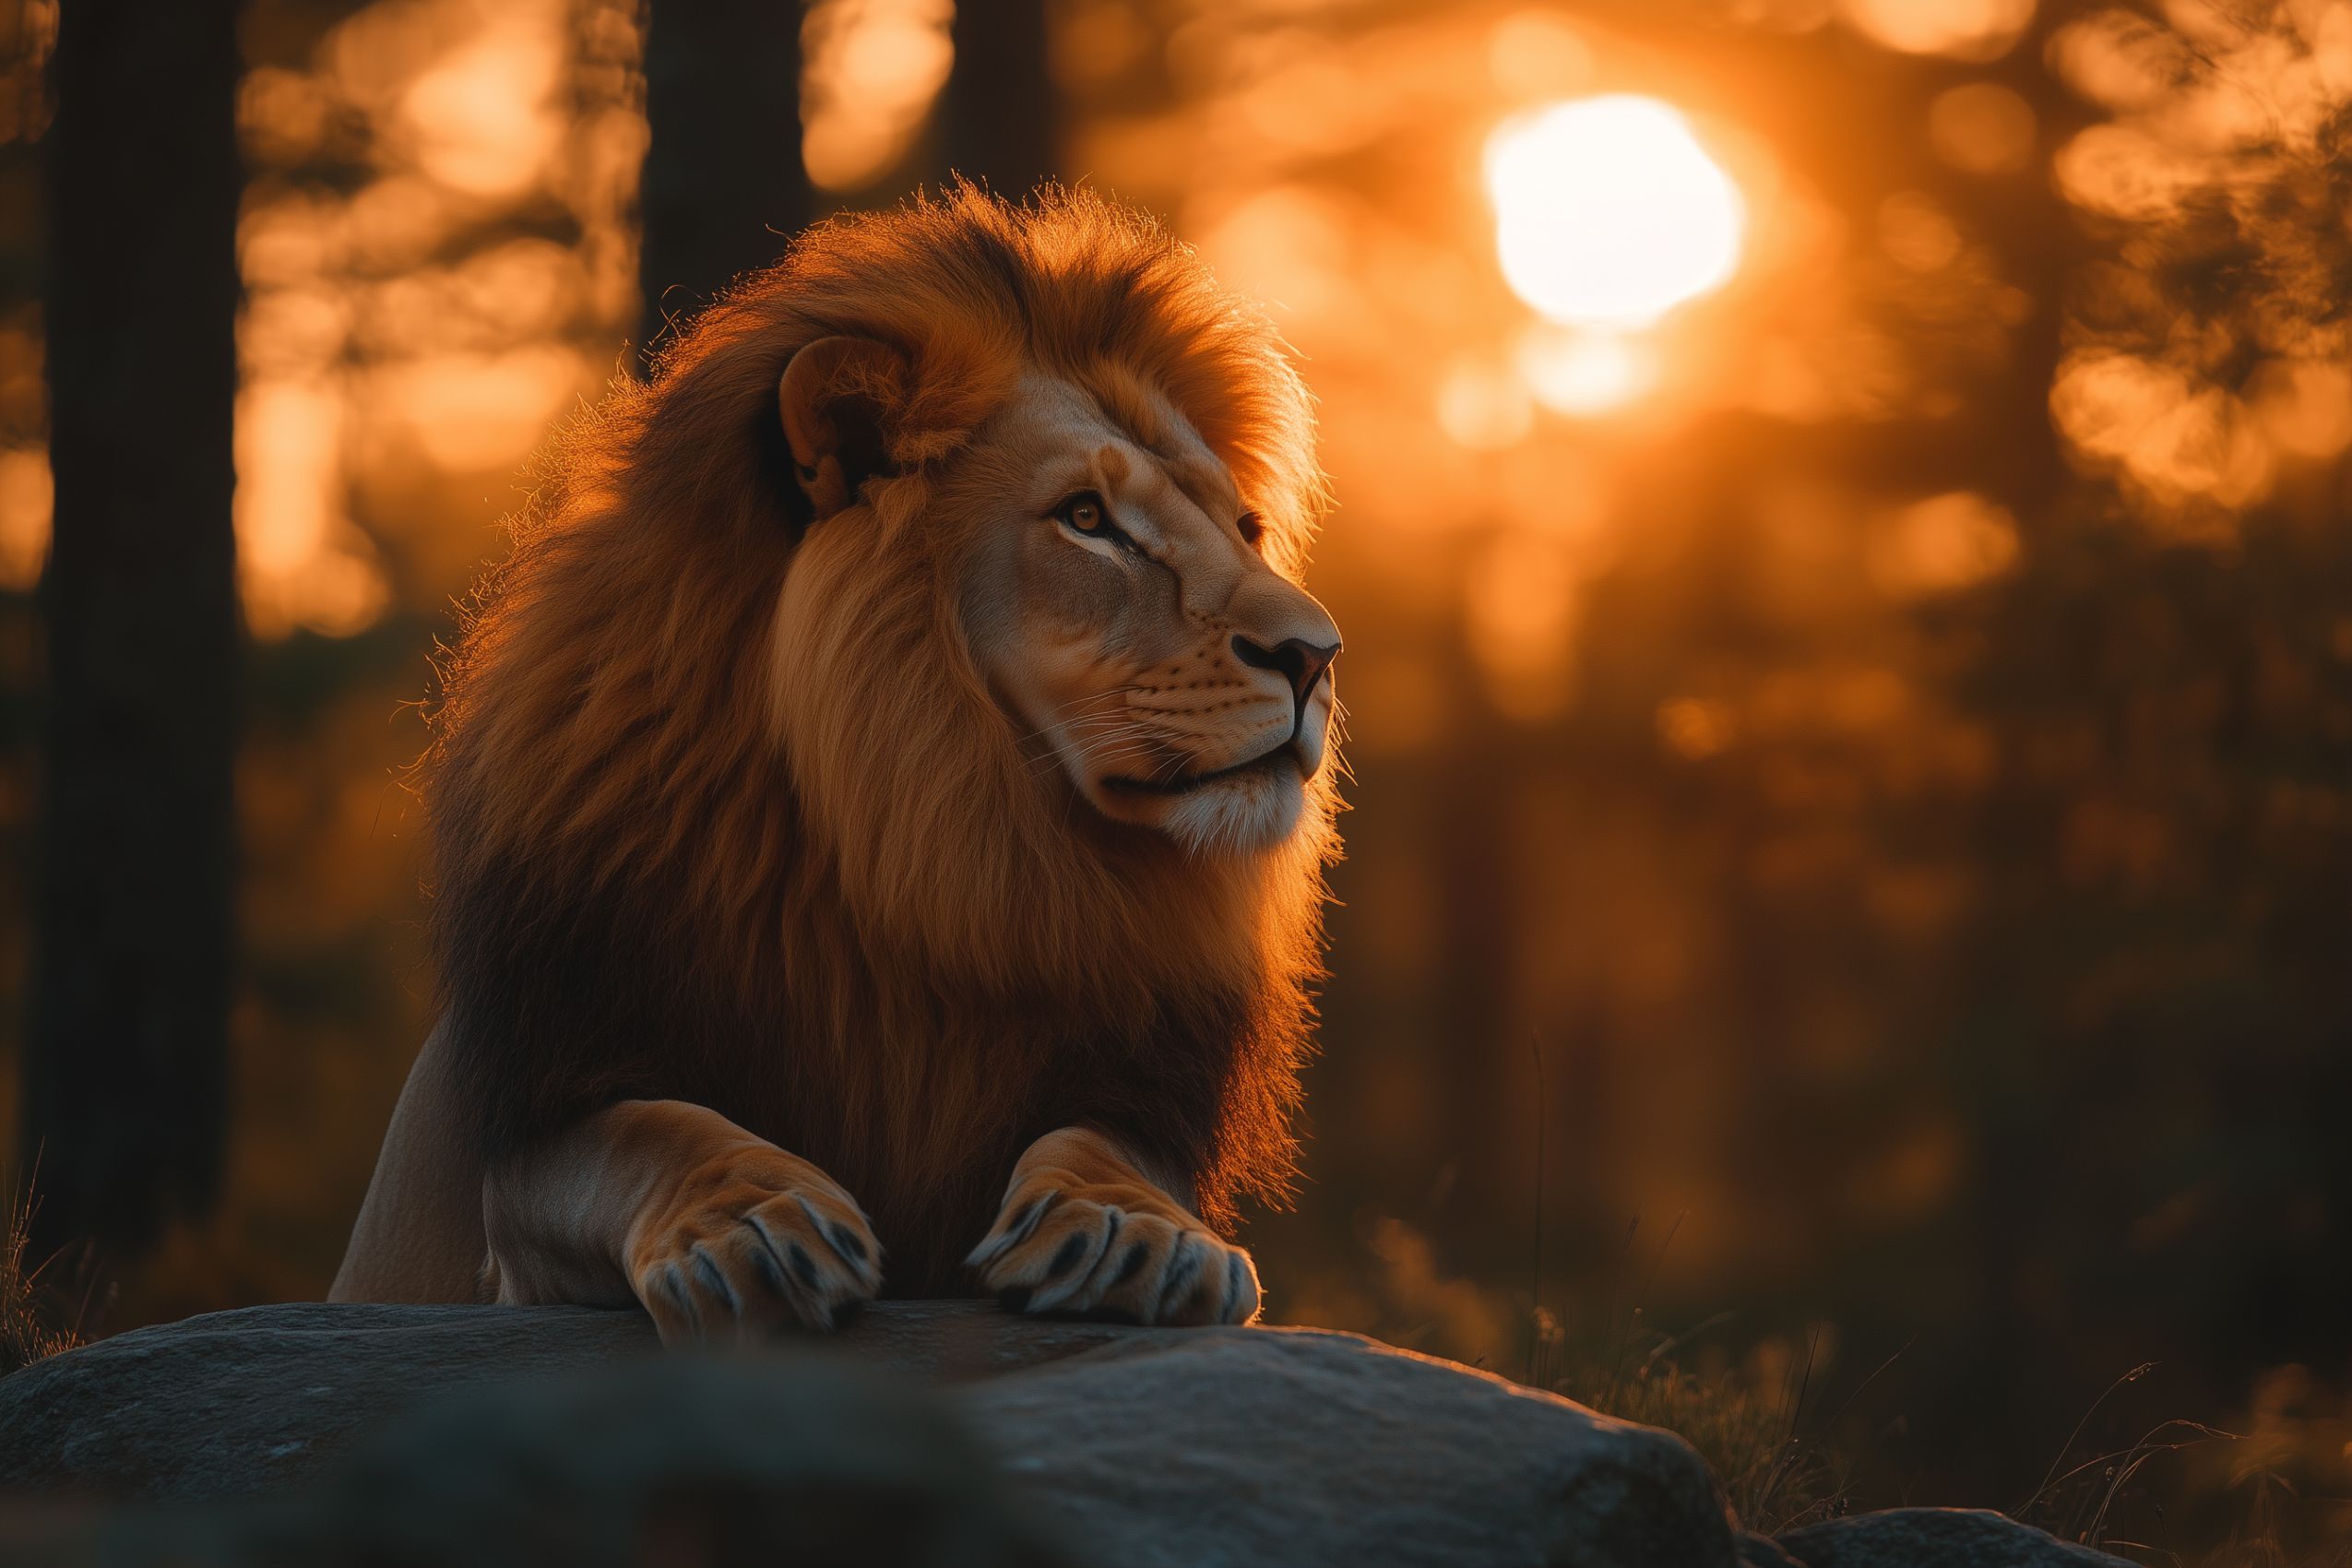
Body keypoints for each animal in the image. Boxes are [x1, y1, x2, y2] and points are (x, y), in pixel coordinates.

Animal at [329, 185, 1344, 1338]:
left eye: (1244, 527)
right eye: (1086, 518)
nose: (1318, 655)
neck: (943, 839)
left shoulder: (1133, 1081)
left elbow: (1100, 1143)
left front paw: (1136, 1233)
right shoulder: (544, 1102)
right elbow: (650, 1130)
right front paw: (758, 1226)